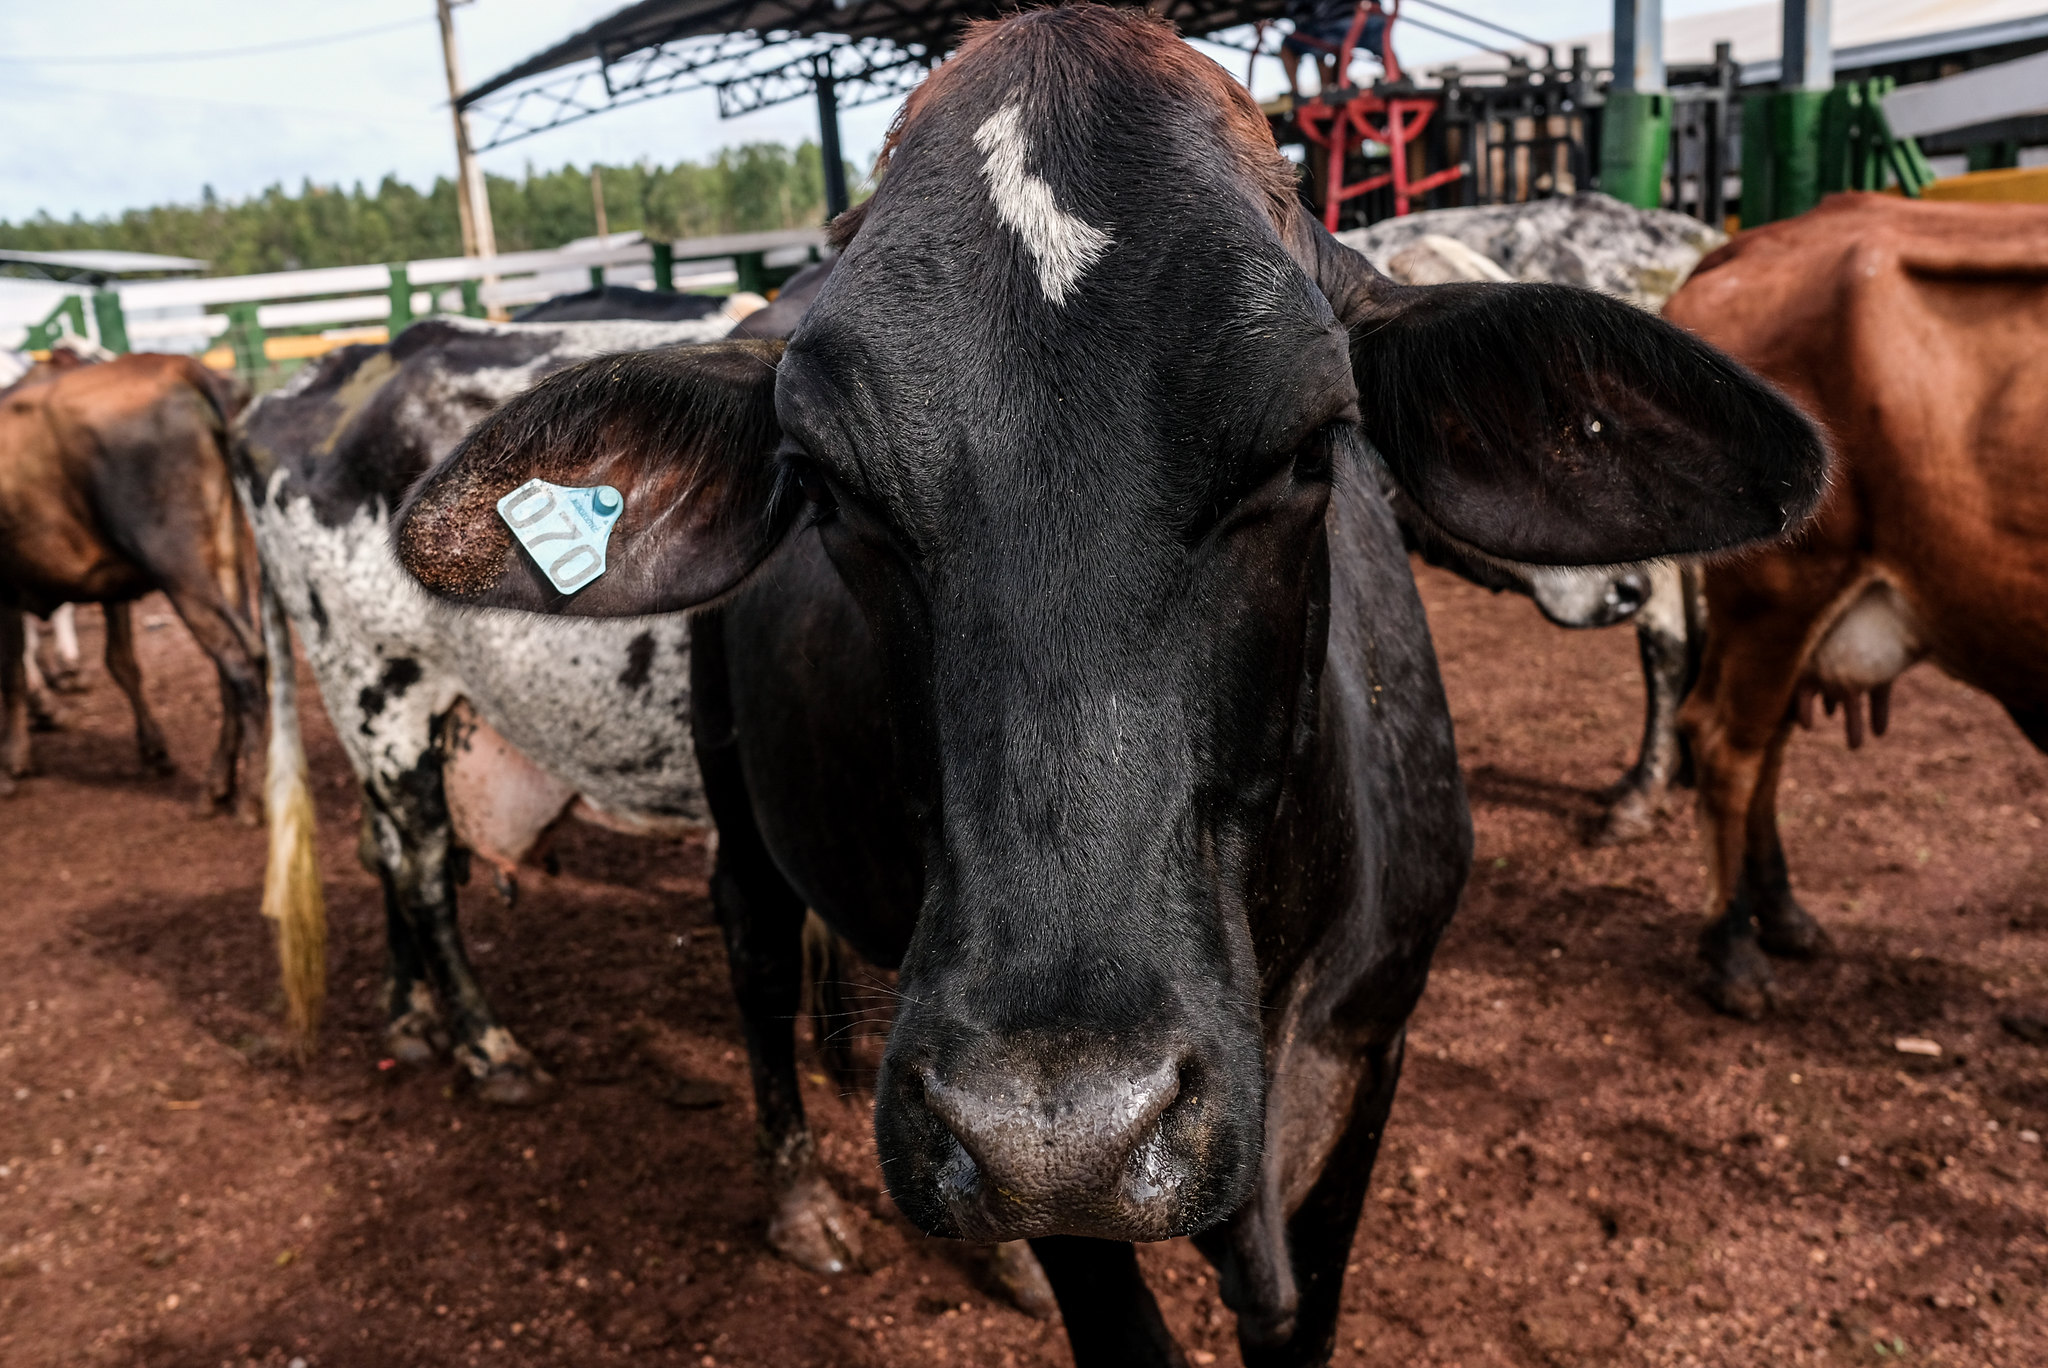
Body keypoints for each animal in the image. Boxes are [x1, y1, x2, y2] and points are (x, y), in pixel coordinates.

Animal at [1, 352, 264, 810]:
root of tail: (180, 367)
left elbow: (11, 669)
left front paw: (13, 760)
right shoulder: (107, 583)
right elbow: (120, 661)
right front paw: (152, 747)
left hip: (180, 567)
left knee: (241, 659)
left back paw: (250, 796)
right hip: (228, 561)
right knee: (230, 665)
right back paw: (218, 783)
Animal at [387, 13, 1826, 1368]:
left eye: (1311, 444)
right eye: (828, 483)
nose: (1058, 1130)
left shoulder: (1373, 1054)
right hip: (735, 790)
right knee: (748, 938)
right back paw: (804, 1195)